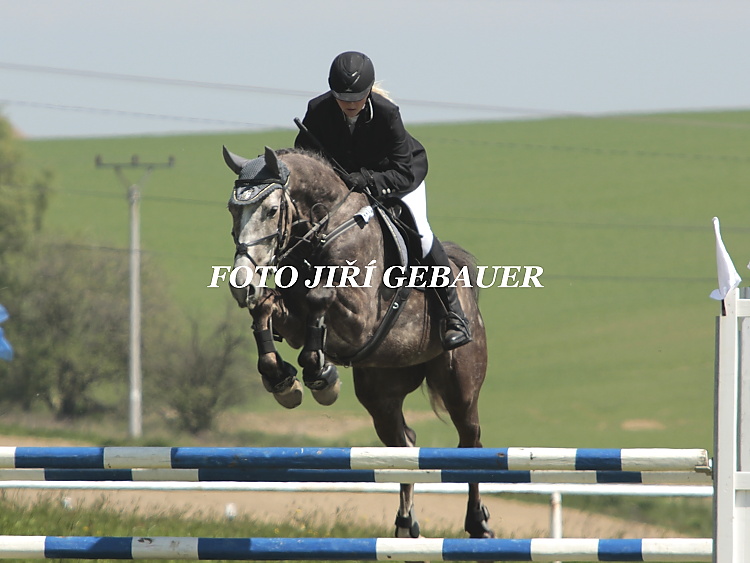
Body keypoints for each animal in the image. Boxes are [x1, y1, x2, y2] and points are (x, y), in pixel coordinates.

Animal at [223, 145, 493, 539]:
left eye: (271, 210)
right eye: (232, 208)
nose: (241, 284)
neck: (324, 228)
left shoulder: (360, 319)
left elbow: (319, 296)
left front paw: (321, 374)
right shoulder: (293, 320)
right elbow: (267, 308)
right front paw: (285, 379)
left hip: (460, 384)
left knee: (471, 441)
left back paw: (478, 523)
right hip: (380, 392)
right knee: (403, 444)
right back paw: (405, 524)